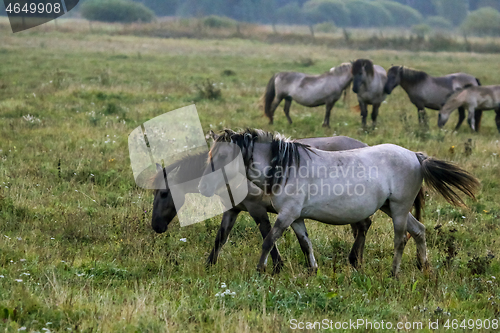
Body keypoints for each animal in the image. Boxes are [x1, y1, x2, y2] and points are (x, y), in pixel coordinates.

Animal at [152, 131, 378, 272]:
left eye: (163, 193)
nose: (156, 226)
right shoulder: (232, 210)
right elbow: (220, 238)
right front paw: (209, 264)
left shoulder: (257, 209)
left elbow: (267, 235)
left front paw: (277, 266)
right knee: (361, 226)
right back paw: (357, 260)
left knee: (363, 226)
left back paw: (354, 260)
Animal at [200, 128, 480, 274]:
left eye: (221, 157)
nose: (203, 188)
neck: (286, 167)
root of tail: (415, 155)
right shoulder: (296, 217)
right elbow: (305, 244)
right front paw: (312, 271)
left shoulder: (285, 214)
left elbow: (268, 240)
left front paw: (260, 270)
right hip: (390, 207)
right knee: (419, 230)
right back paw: (423, 267)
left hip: (399, 208)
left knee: (400, 239)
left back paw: (393, 273)